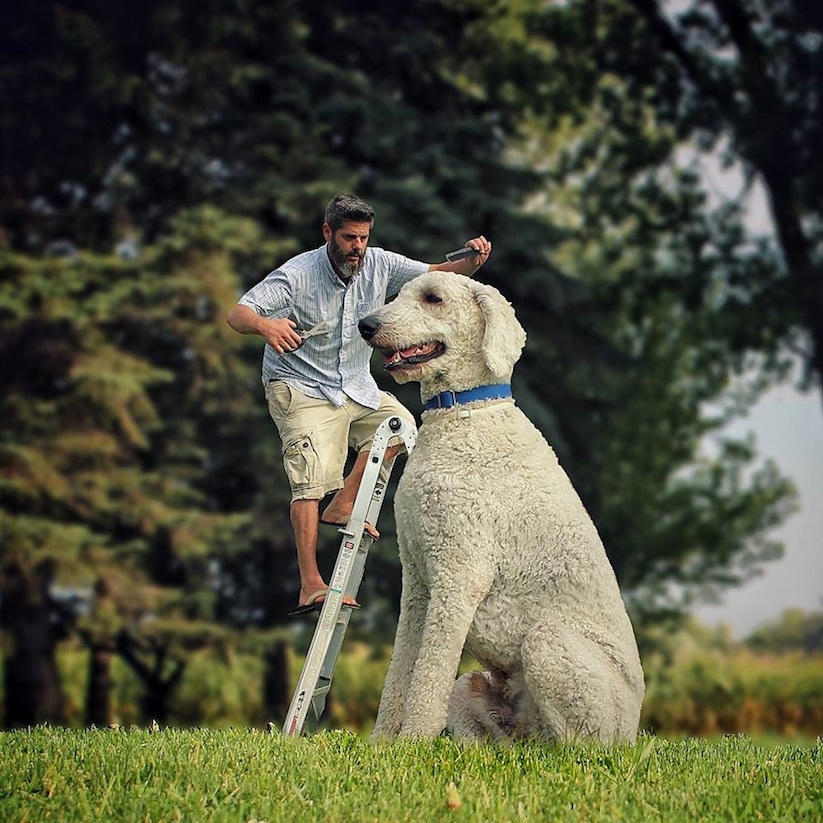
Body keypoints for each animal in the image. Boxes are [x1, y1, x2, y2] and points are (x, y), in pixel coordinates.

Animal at [358, 274, 644, 744]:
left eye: (433, 299)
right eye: (399, 294)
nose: (366, 325)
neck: (465, 412)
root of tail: (634, 729)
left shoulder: (458, 576)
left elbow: (428, 676)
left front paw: (413, 741)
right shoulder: (418, 579)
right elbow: (401, 670)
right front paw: (382, 743)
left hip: (551, 646)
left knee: (577, 746)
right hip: (472, 688)